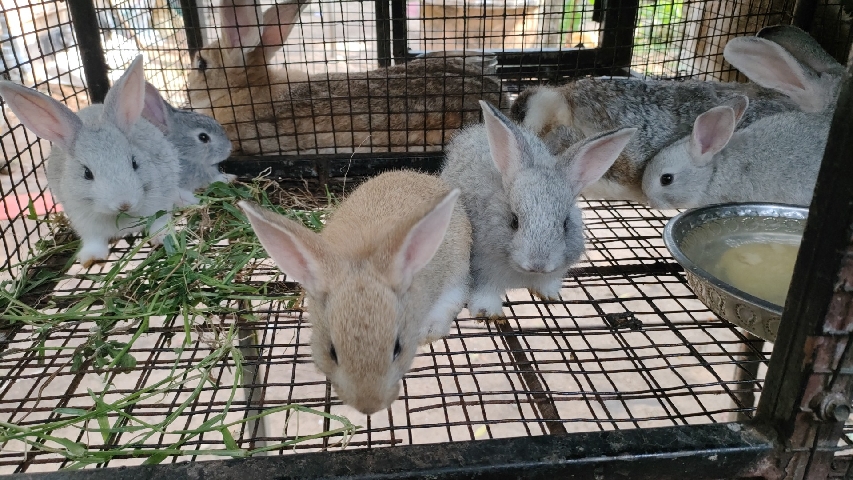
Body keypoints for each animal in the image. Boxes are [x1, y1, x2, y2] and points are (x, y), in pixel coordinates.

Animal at [0, 56, 183, 268]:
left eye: (134, 162)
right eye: (87, 173)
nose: (124, 204)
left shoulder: (161, 202)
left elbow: (159, 223)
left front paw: (162, 238)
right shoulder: (83, 220)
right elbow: (94, 240)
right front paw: (91, 258)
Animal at [441, 100, 635, 318]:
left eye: (565, 224)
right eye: (514, 221)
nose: (538, 265)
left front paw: (550, 295)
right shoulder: (482, 270)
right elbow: (485, 293)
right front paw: (487, 313)